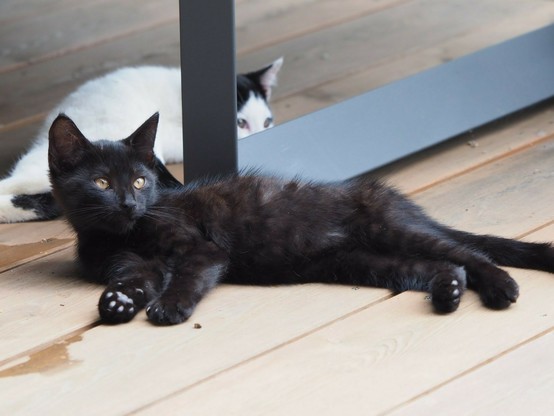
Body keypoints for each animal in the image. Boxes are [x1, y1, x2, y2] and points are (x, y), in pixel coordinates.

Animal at [48, 113, 552, 324]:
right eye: (102, 183)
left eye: (139, 181)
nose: (128, 204)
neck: (122, 236)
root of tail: (393, 199)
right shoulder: (135, 263)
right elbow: (136, 279)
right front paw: (118, 302)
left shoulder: (200, 248)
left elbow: (188, 274)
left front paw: (170, 306)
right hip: (365, 261)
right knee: (441, 266)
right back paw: (448, 292)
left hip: (390, 228)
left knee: (467, 253)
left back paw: (501, 287)